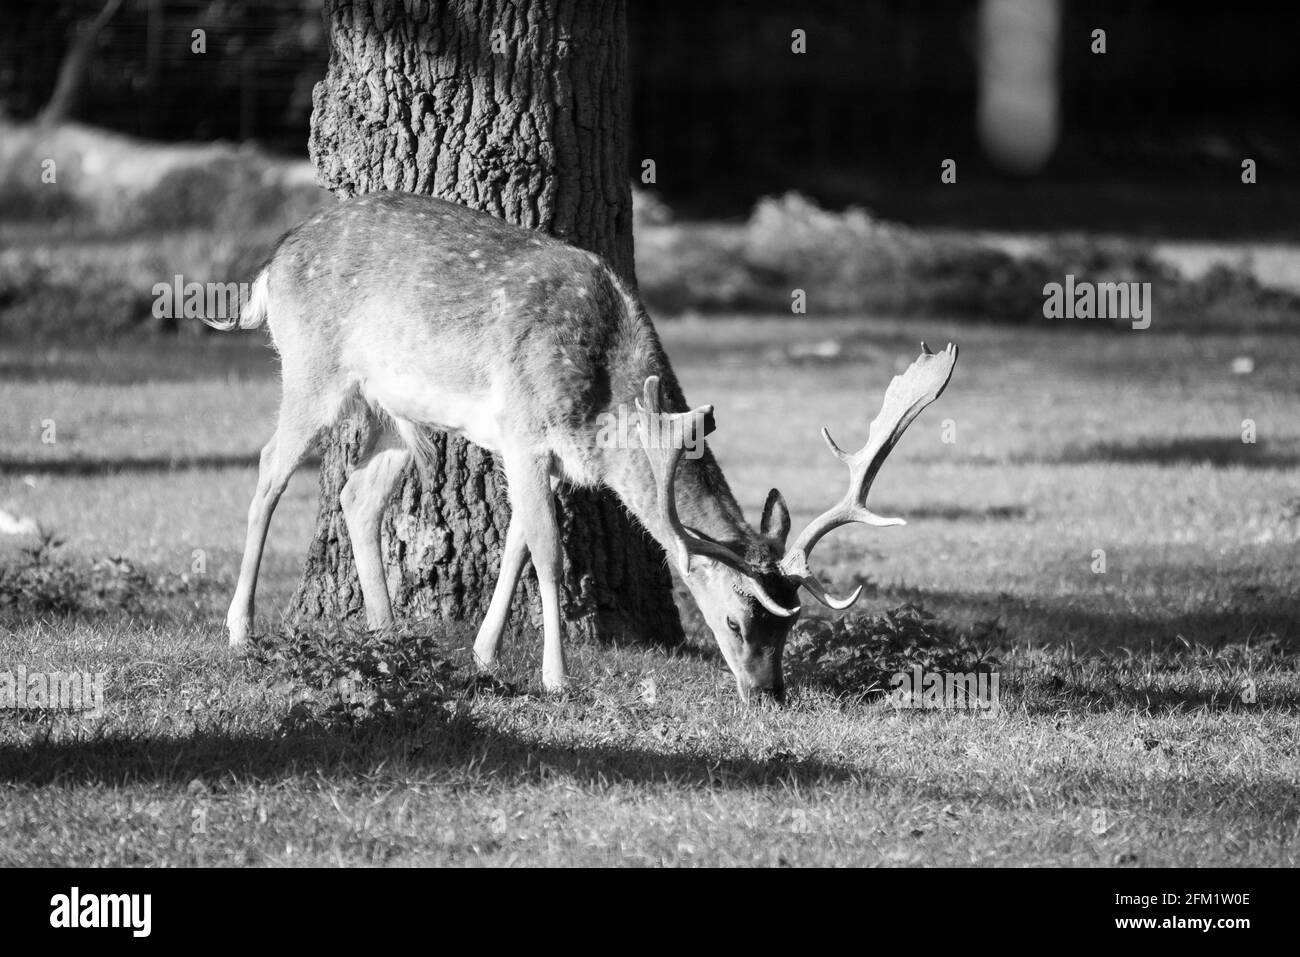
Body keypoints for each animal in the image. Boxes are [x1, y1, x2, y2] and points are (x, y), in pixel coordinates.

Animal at [215, 192, 956, 702]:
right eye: (738, 619)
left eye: (791, 627)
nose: (769, 695)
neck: (603, 394)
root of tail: (271, 263)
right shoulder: (520, 427)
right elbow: (547, 548)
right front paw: (556, 676)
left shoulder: (553, 457)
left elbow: (518, 539)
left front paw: (483, 655)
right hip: (313, 367)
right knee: (268, 469)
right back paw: (241, 629)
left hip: (396, 410)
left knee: (356, 494)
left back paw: (387, 633)